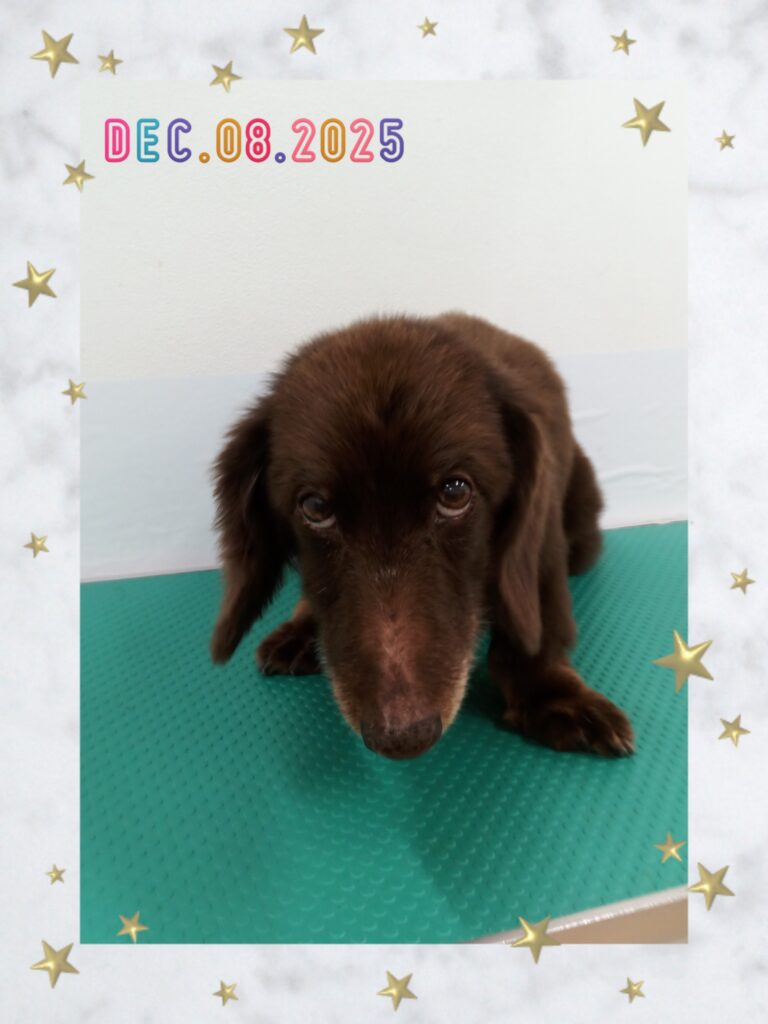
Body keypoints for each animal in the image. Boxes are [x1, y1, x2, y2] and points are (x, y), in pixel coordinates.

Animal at [210, 313, 634, 761]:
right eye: (316, 507)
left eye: (456, 492)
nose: (402, 736)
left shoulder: (541, 547)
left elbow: (536, 625)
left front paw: (552, 694)